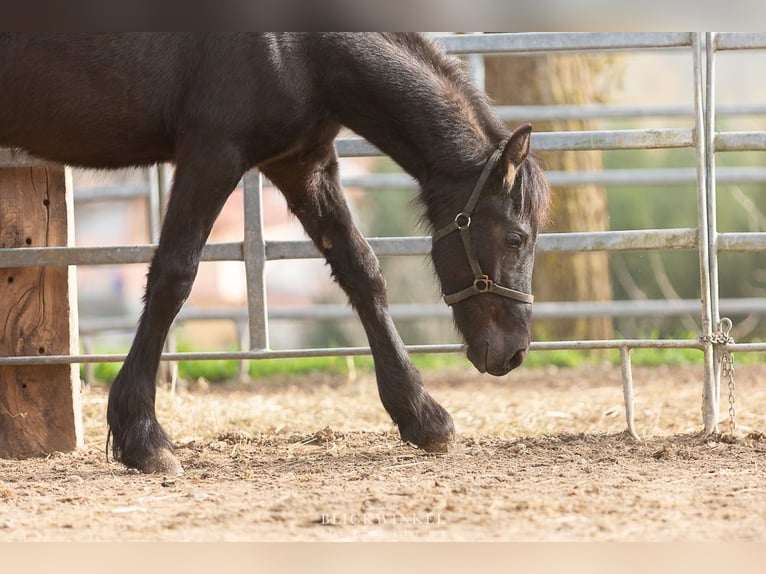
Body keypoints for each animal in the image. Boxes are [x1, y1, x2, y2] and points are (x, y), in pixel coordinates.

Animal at [0, 33, 550, 475]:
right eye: (517, 238)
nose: (515, 351)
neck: (299, 47)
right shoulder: (212, 155)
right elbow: (174, 277)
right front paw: (143, 437)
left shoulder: (302, 163)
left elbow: (362, 271)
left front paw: (421, 415)